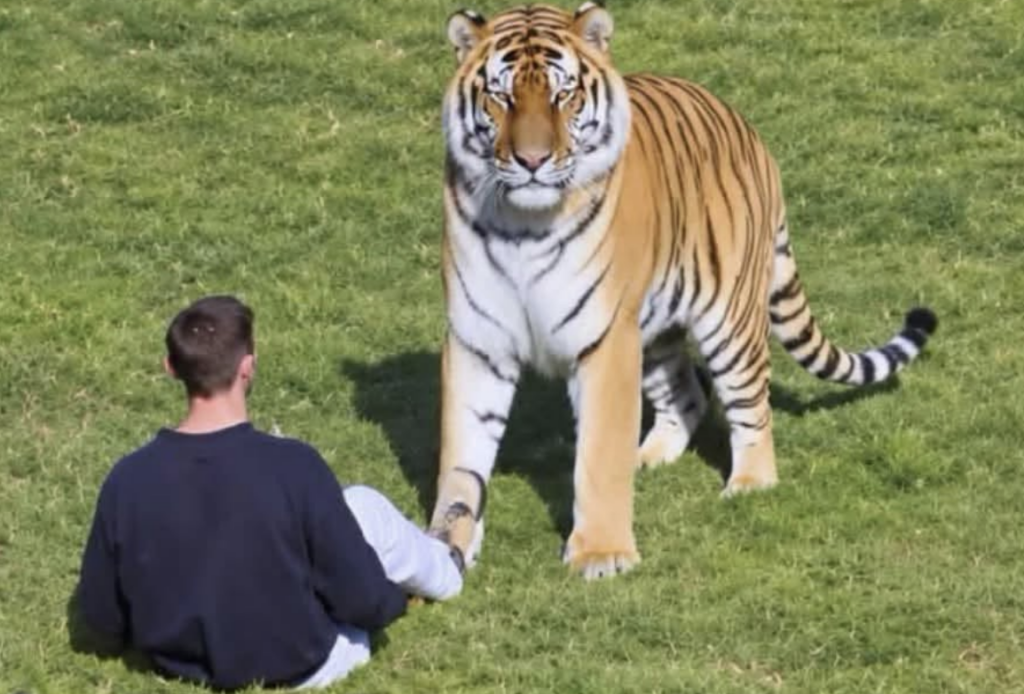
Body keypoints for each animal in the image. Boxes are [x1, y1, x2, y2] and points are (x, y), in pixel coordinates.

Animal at [428, 2, 938, 579]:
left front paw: (601, 553)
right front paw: (447, 544)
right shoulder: (477, 341)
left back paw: (750, 483)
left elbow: (598, 454)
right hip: (653, 330)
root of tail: (744, 124)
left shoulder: (605, 340)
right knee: (687, 395)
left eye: (563, 95)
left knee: (750, 404)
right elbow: (462, 459)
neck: (523, 224)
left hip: (728, 321)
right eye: (502, 96)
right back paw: (647, 456)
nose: (532, 161)